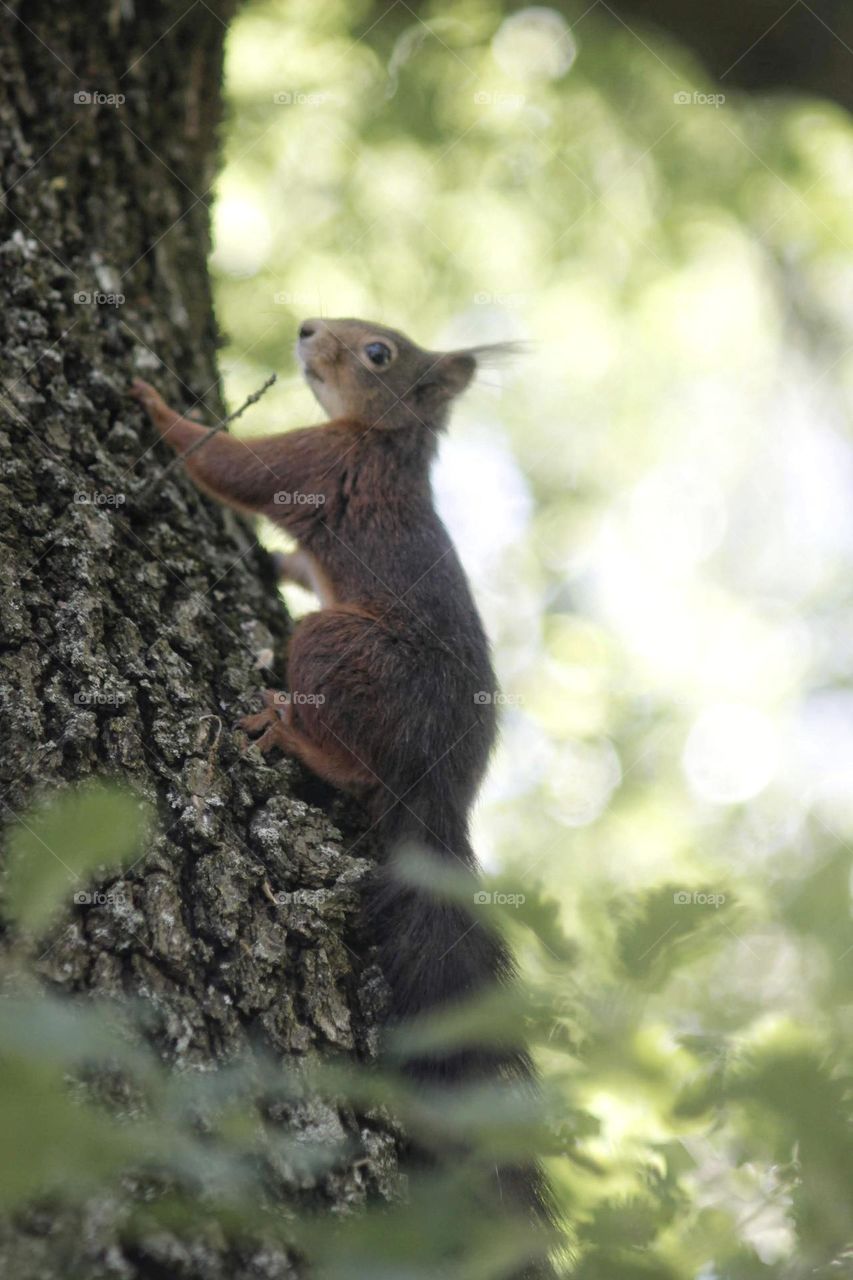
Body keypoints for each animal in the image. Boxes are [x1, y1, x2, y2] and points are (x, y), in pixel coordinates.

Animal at [130, 318, 556, 1275]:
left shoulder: (324, 461)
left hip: (340, 646)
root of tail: (442, 789)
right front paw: (286, 560)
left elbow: (235, 467)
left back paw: (290, 733)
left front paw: (156, 406)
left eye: (379, 354)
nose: (307, 328)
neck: (388, 441)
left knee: (353, 755)